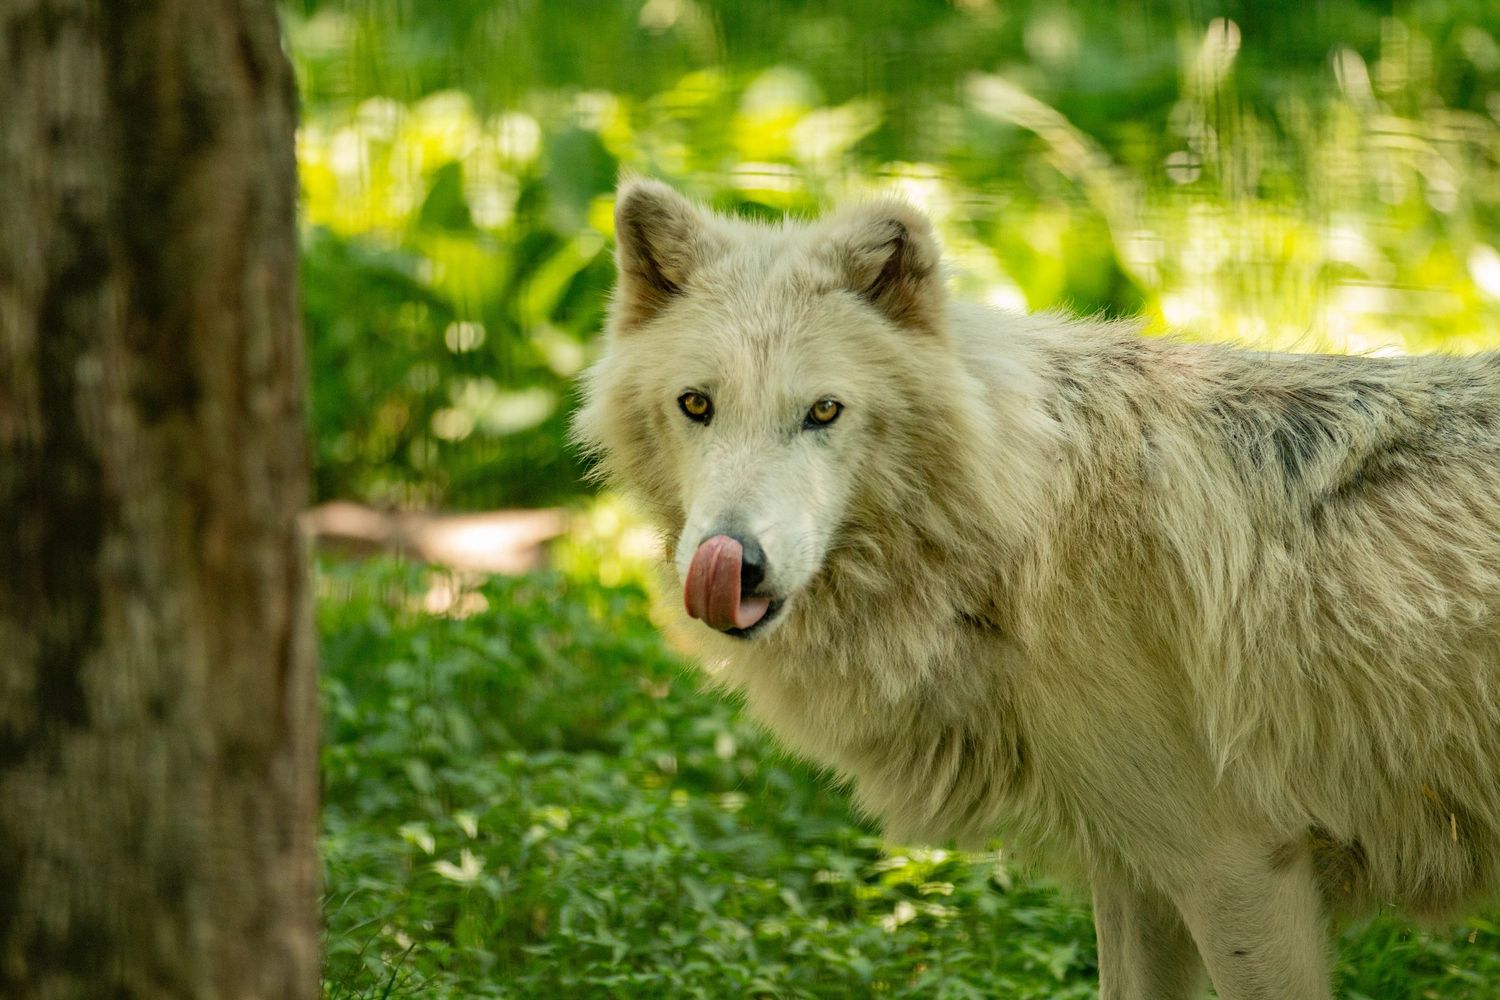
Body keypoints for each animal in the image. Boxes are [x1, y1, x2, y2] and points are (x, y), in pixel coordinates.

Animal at [572, 179, 1500, 999]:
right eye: (697, 404)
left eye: (824, 412)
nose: (732, 561)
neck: (1025, 524)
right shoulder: (1136, 874)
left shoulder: (1237, 868)